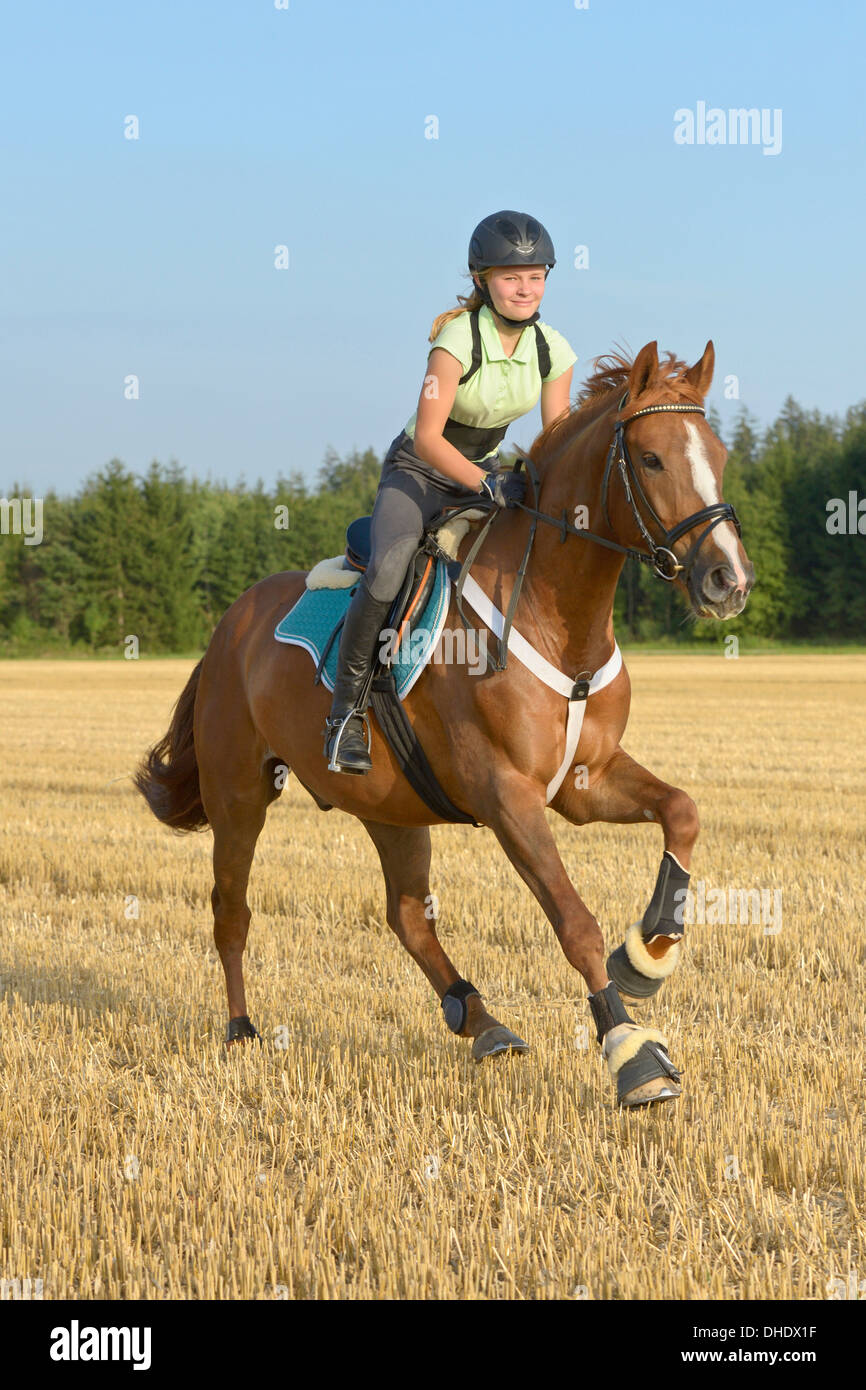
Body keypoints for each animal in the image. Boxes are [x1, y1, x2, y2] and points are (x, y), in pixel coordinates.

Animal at [134, 344, 750, 1106]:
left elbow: (683, 810)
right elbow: (573, 920)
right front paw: (633, 1054)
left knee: (405, 915)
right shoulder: (506, 794)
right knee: (231, 909)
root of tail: (231, 623)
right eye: (653, 458)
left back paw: (481, 1020)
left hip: (391, 807)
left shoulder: (586, 780)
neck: (561, 621)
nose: (728, 580)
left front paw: (649, 953)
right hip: (239, 792)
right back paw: (242, 1031)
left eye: (718, 455)